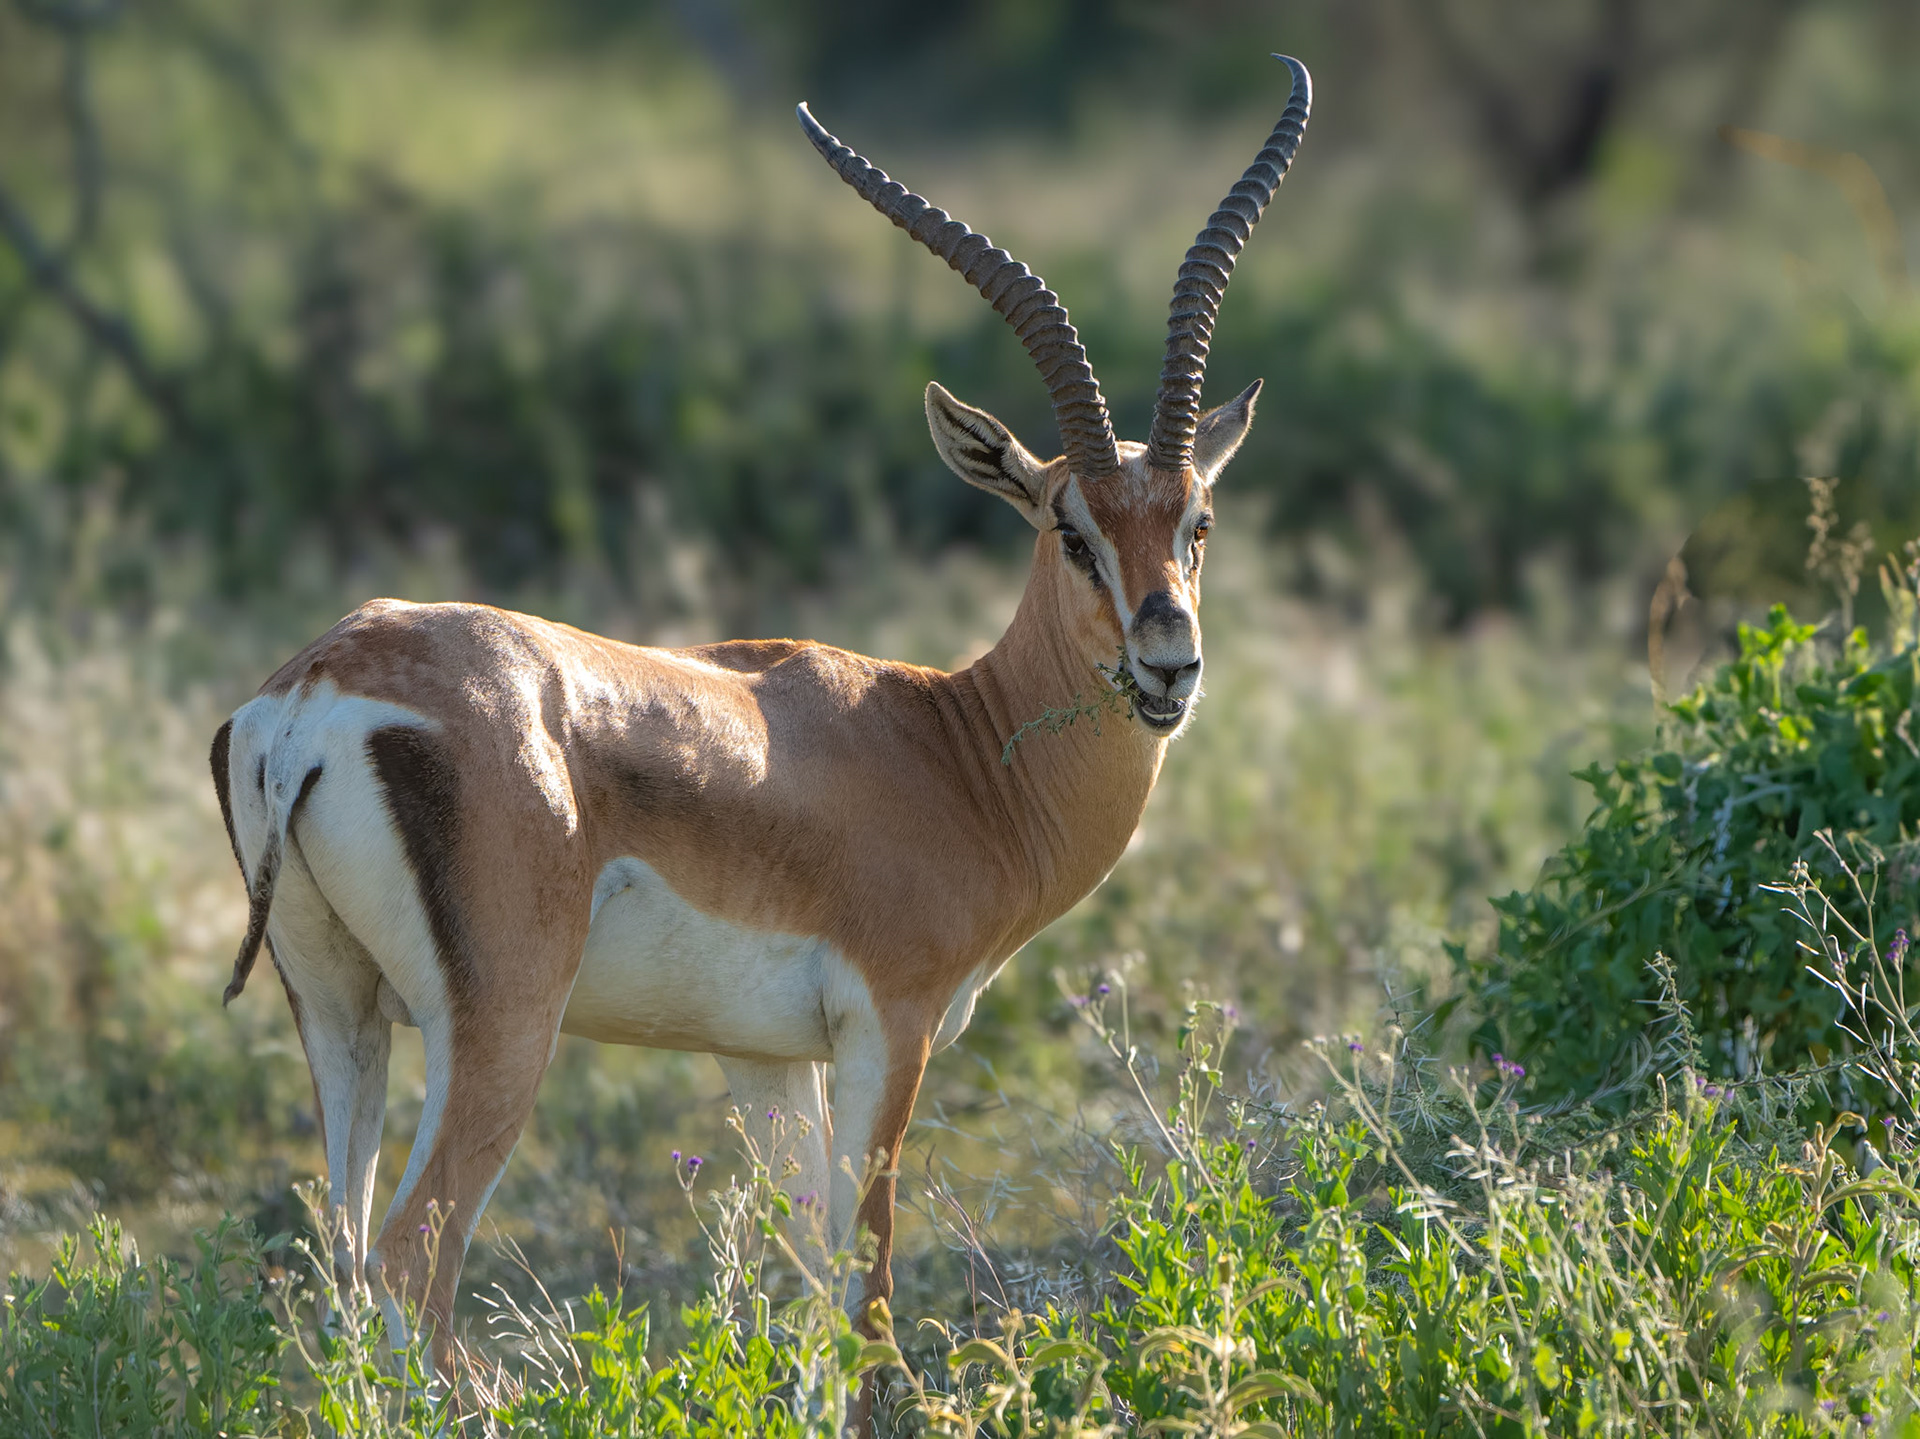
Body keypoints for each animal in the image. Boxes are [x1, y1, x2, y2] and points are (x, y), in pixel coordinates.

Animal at [212, 56, 1311, 1356]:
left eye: (1197, 520)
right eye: (1070, 529)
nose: (1167, 661)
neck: (957, 748)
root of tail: (312, 692)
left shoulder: (765, 1057)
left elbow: (808, 1288)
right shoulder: (891, 1026)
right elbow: (868, 1289)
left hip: (339, 1014)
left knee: (342, 1262)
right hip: (498, 1028)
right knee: (406, 1263)